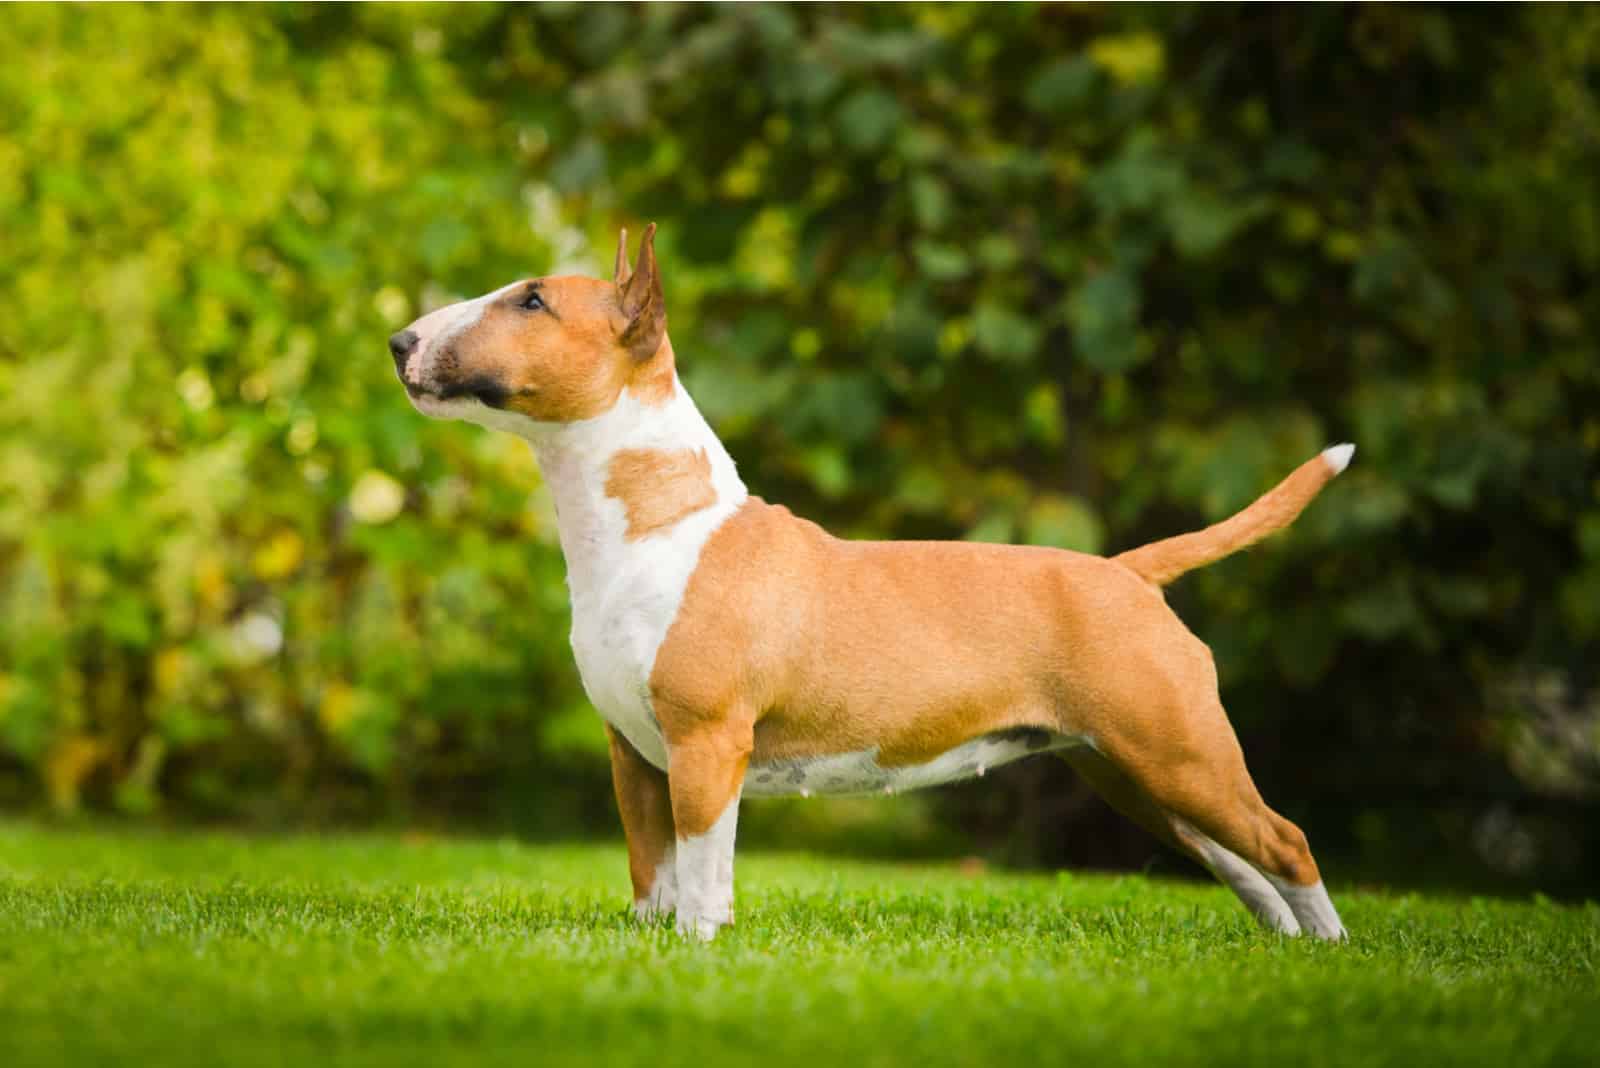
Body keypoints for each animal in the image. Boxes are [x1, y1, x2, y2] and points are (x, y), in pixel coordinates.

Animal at [387, 220, 1350, 940]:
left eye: (533, 300)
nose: (399, 340)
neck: (656, 519)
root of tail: (1127, 572)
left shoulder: (708, 742)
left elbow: (701, 869)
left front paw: (698, 948)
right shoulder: (633, 750)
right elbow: (651, 869)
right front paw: (654, 943)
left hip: (1178, 750)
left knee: (1288, 840)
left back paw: (1330, 950)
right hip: (1130, 770)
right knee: (1236, 857)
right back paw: (1282, 944)